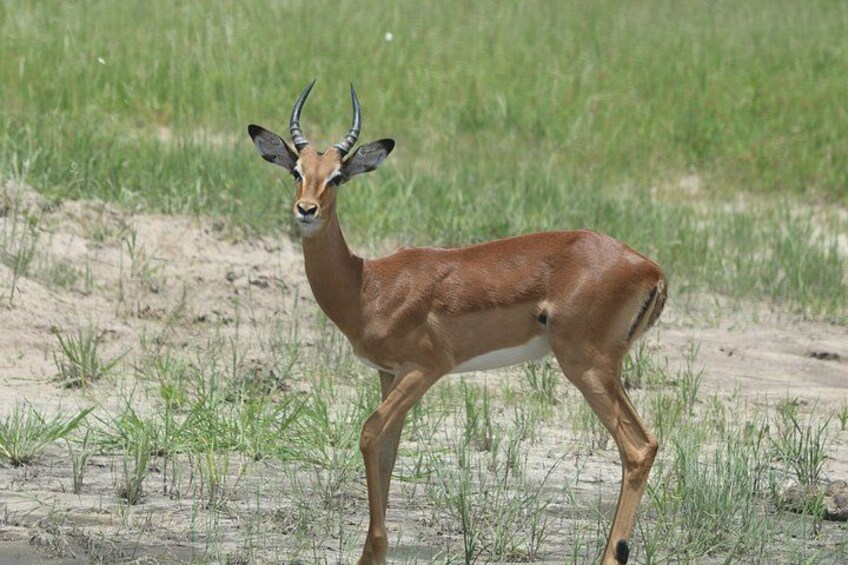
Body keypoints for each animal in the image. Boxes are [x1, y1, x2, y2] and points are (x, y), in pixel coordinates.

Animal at [247, 81, 667, 565]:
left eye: (337, 176)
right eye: (296, 171)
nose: (306, 210)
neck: (367, 285)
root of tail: (651, 268)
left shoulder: (426, 368)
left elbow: (369, 434)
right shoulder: (389, 375)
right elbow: (387, 450)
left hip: (587, 366)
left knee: (639, 446)